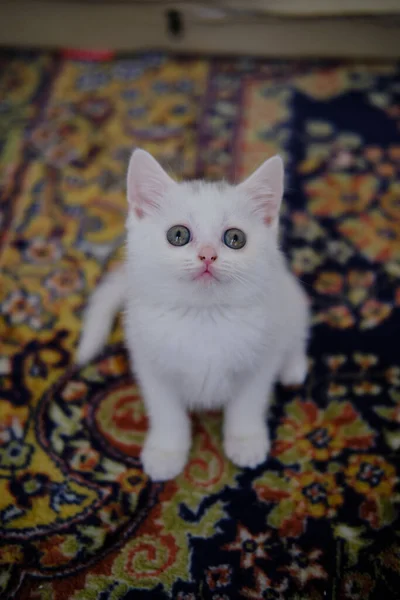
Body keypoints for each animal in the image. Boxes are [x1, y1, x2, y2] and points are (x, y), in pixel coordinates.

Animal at [78, 151, 310, 482]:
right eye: (178, 235)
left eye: (235, 238)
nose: (208, 254)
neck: (204, 317)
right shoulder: (151, 366)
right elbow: (167, 414)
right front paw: (165, 452)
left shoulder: (260, 362)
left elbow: (247, 404)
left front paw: (245, 441)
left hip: (289, 300)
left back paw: (292, 367)